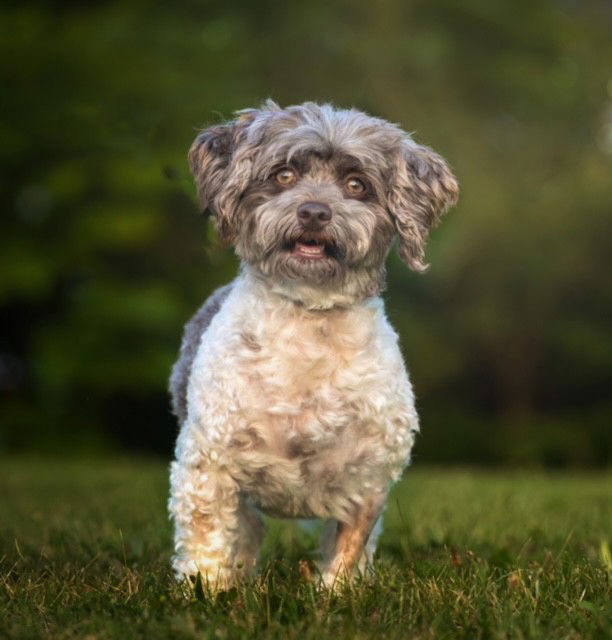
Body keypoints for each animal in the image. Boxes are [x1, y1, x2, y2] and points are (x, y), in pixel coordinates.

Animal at [167, 97, 460, 588]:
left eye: (357, 185)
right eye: (284, 175)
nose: (315, 212)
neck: (309, 323)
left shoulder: (368, 476)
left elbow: (349, 546)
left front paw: (336, 593)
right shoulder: (210, 462)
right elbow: (208, 538)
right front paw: (208, 592)